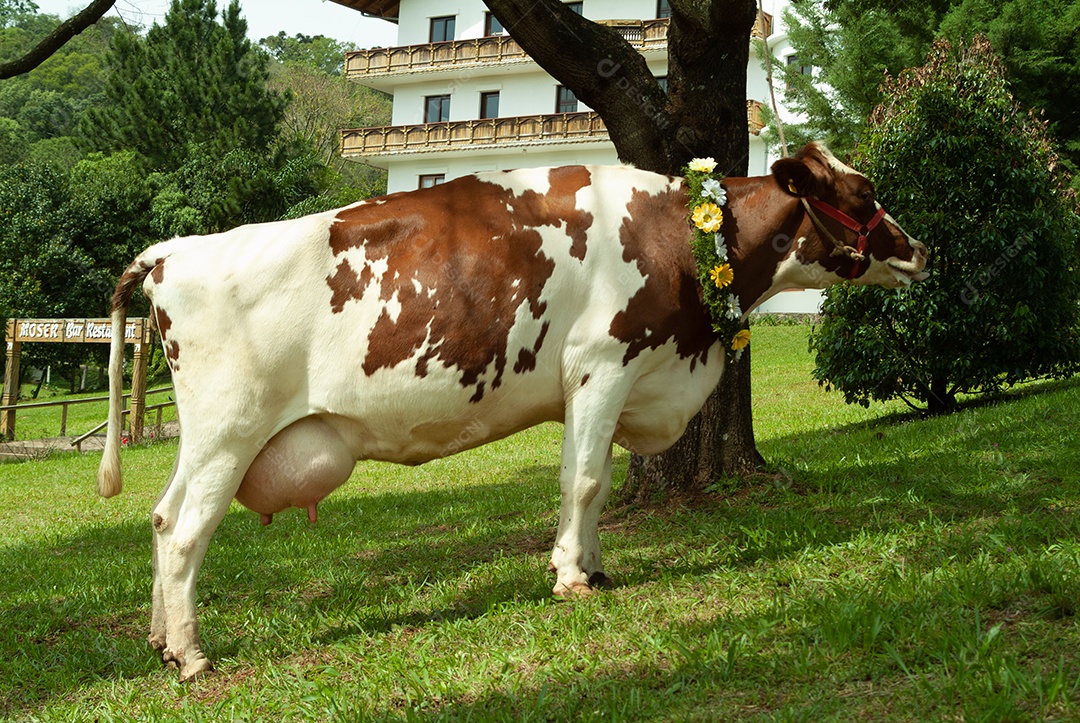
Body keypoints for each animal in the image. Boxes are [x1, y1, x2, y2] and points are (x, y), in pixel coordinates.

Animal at [96, 142, 927, 681]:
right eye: (861, 195)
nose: (919, 250)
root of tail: (174, 251)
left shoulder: (605, 384)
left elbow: (592, 483)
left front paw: (593, 567)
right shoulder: (602, 363)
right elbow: (583, 482)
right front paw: (568, 577)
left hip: (205, 437)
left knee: (161, 517)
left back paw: (159, 639)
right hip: (230, 428)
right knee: (187, 531)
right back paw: (193, 656)